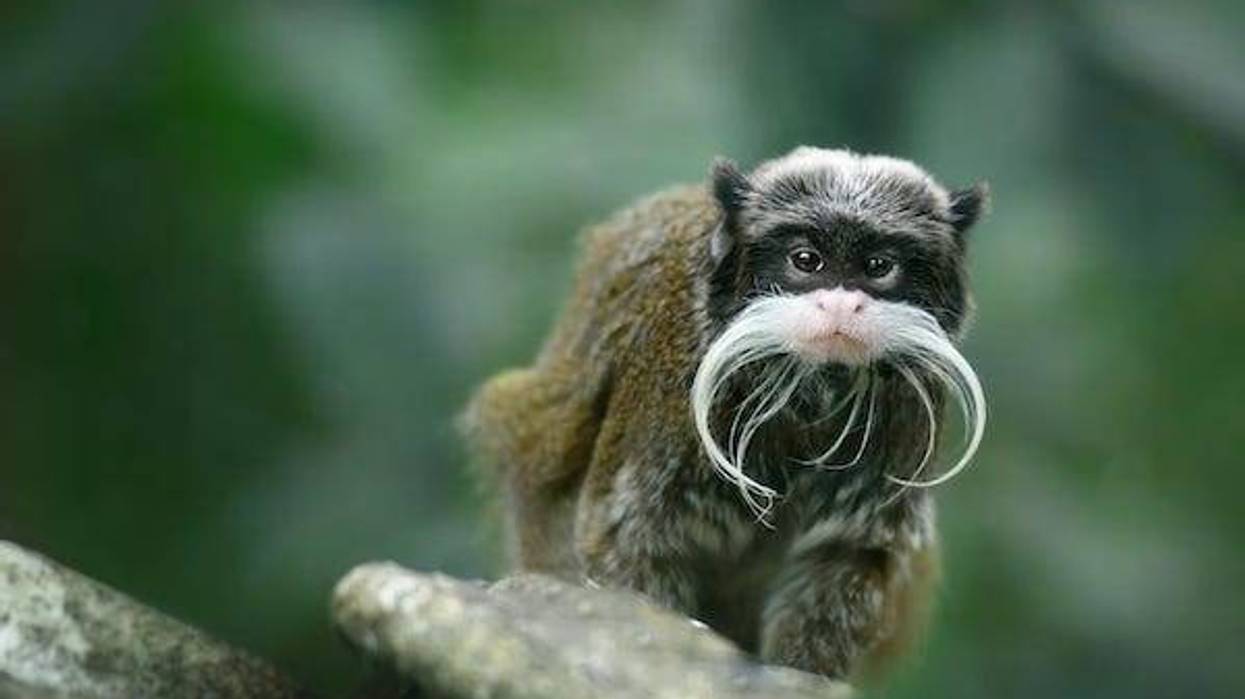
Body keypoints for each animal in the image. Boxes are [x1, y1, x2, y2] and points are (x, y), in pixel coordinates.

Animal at [462, 146, 988, 683]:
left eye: (879, 265)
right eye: (806, 260)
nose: (843, 305)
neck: (811, 386)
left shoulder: (904, 416)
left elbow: (843, 557)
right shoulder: (668, 386)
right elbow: (630, 537)